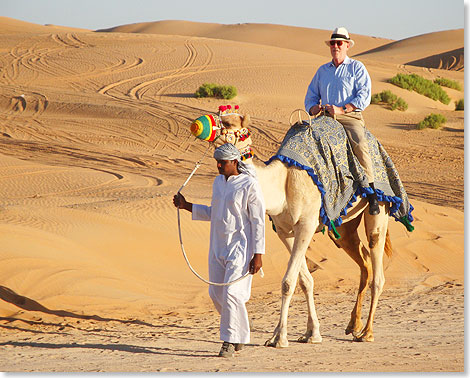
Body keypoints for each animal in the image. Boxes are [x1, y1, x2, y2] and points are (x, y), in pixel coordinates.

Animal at [197, 108, 392, 346]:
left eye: (228, 122)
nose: (197, 125)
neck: (282, 182)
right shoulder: (285, 231)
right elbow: (305, 281)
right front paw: (310, 333)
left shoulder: (306, 225)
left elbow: (288, 282)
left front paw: (280, 338)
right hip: (344, 229)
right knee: (364, 261)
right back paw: (353, 326)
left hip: (380, 210)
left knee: (377, 267)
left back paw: (367, 332)